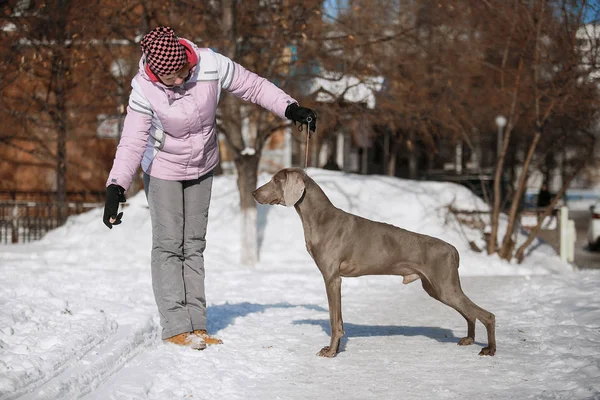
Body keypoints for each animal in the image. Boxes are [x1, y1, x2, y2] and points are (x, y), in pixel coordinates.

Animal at [251, 167, 494, 358]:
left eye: (276, 180)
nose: (253, 193)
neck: (320, 218)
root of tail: (453, 249)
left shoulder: (332, 278)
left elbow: (334, 320)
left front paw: (331, 352)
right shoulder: (335, 280)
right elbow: (339, 320)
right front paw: (335, 349)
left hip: (444, 285)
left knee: (486, 314)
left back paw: (489, 349)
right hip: (436, 287)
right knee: (470, 313)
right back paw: (469, 340)